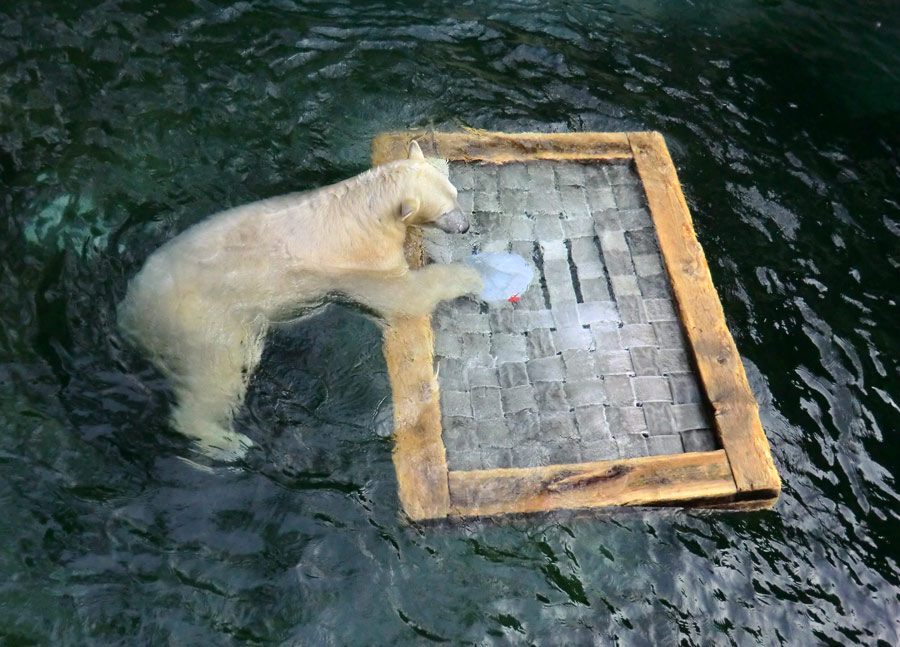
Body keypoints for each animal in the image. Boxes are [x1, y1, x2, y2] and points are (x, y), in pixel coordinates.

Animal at [120, 142, 486, 460]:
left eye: (455, 193)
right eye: (444, 211)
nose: (465, 226)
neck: (364, 208)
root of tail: (132, 313)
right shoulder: (364, 262)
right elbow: (404, 297)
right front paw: (472, 276)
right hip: (203, 323)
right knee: (216, 377)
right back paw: (229, 444)